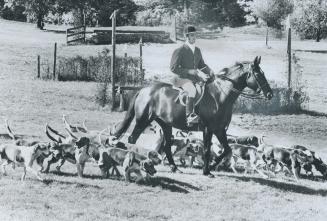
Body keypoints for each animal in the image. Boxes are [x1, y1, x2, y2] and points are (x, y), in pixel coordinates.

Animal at [113, 56, 274, 177]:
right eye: (258, 74)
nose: (270, 94)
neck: (220, 95)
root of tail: (144, 90)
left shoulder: (219, 129)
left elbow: (227, 150)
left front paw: (211, 166)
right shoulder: (209, 129)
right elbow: (208, 150)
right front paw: (207, 170)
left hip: (166, 124)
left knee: (166, 146)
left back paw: (175, 168)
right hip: (143, 120)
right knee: (132, 139)